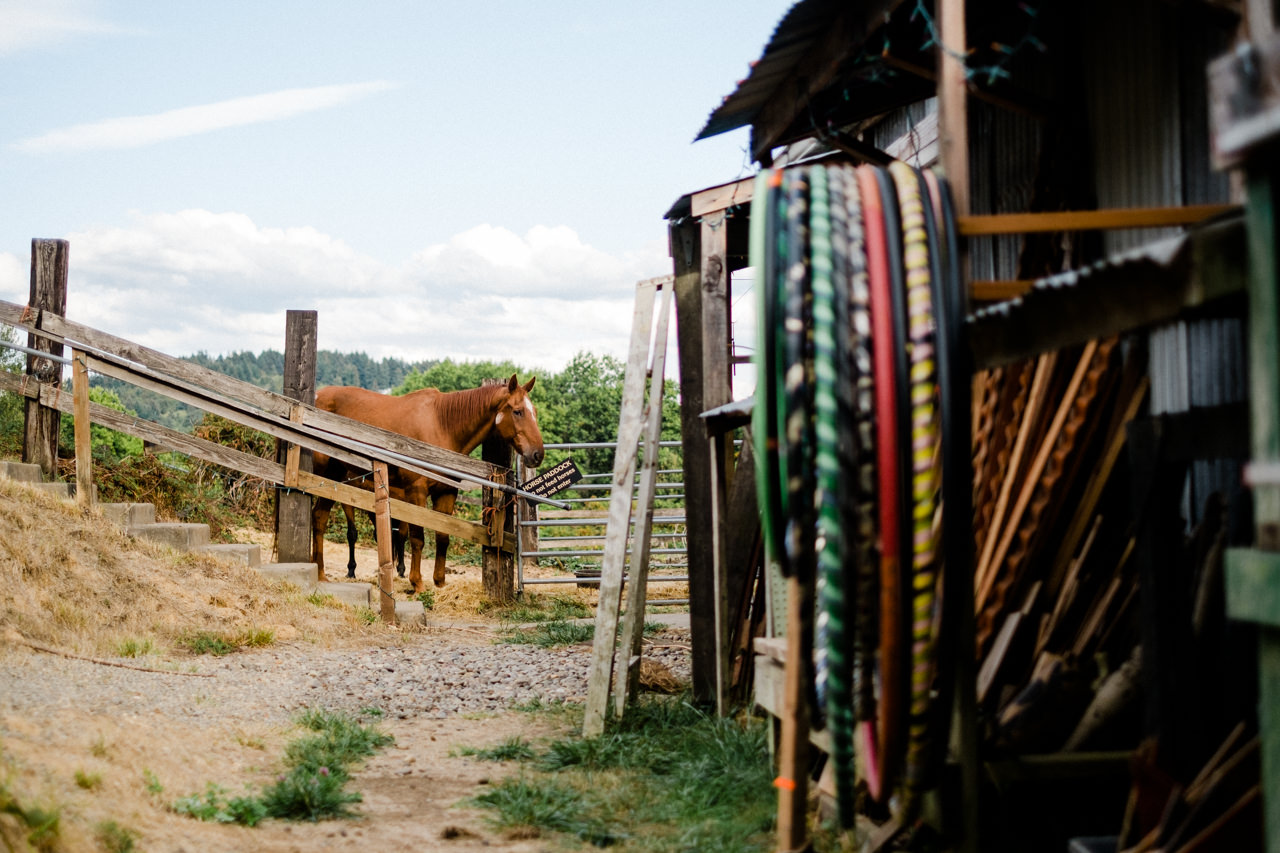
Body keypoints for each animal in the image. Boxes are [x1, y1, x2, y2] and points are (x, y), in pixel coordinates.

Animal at [317, 376, 547, 589]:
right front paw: (416, 582)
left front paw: (439, 582)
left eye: (534, 411)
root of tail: (318, 396)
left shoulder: (446, 493)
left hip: (334, 478)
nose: (537, 455)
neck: (442, 426)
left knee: (319, 517)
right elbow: (417, 537)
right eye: (518, 411)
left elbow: (443, 536)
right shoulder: (416, 492)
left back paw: (320, 573)